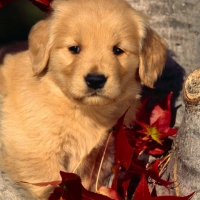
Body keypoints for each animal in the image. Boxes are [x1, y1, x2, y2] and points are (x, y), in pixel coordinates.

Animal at [0, 0, 166, 198]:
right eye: (74, 48)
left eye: (118, 50)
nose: (95, 80)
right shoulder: (34, 151)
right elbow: (52, 184)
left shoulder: (99, 157)